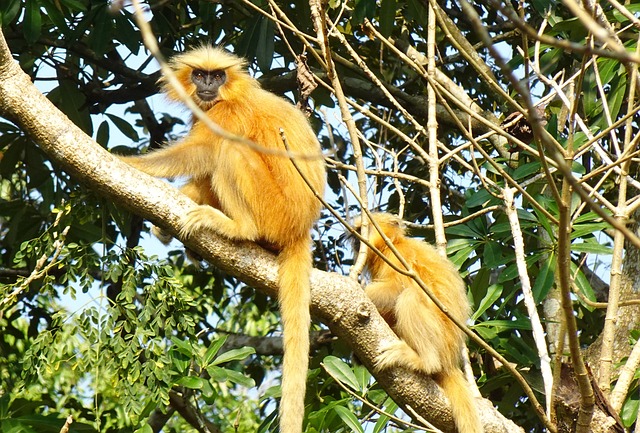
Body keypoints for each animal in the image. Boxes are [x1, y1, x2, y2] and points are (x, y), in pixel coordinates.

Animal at [120, 44, 328, 432]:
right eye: (200, 75)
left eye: (217, 76)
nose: (207, 86)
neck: (228, 95)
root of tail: (300, 228)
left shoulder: (228, 112)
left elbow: (200, 152)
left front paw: (128, 164)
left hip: (274, 211)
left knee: (229, 150)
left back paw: (238, 227)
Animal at [358, 213, 482, 432]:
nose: (359, 240)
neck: (391, 245)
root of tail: (449, 359)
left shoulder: (398, 257)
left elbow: (397, 287)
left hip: (440, 336)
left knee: (410, 296)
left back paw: (424, 360)